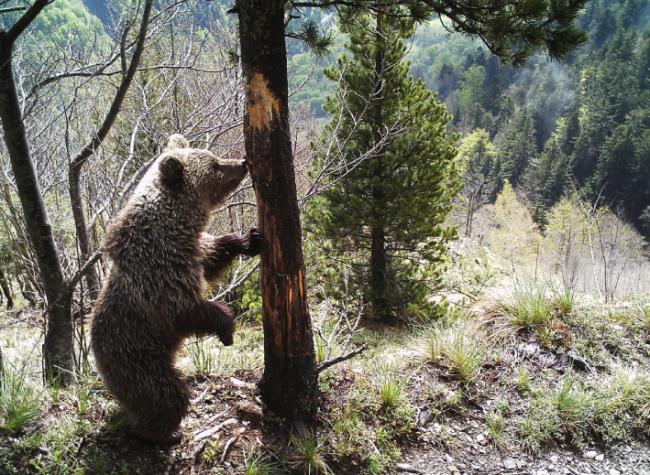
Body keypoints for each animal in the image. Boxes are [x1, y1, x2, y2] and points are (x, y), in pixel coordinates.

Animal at [90, 135, 260, 446]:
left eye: (213, 156)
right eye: (215, 165)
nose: (242, 162)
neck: (174, 229)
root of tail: (98, 361)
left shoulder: (191, 253)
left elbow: (212, 256)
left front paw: (249, 239)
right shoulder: (159, 274)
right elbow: (186, 310)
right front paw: (227, 328)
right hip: (138, 358)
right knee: (164, 395)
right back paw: (157, 434)